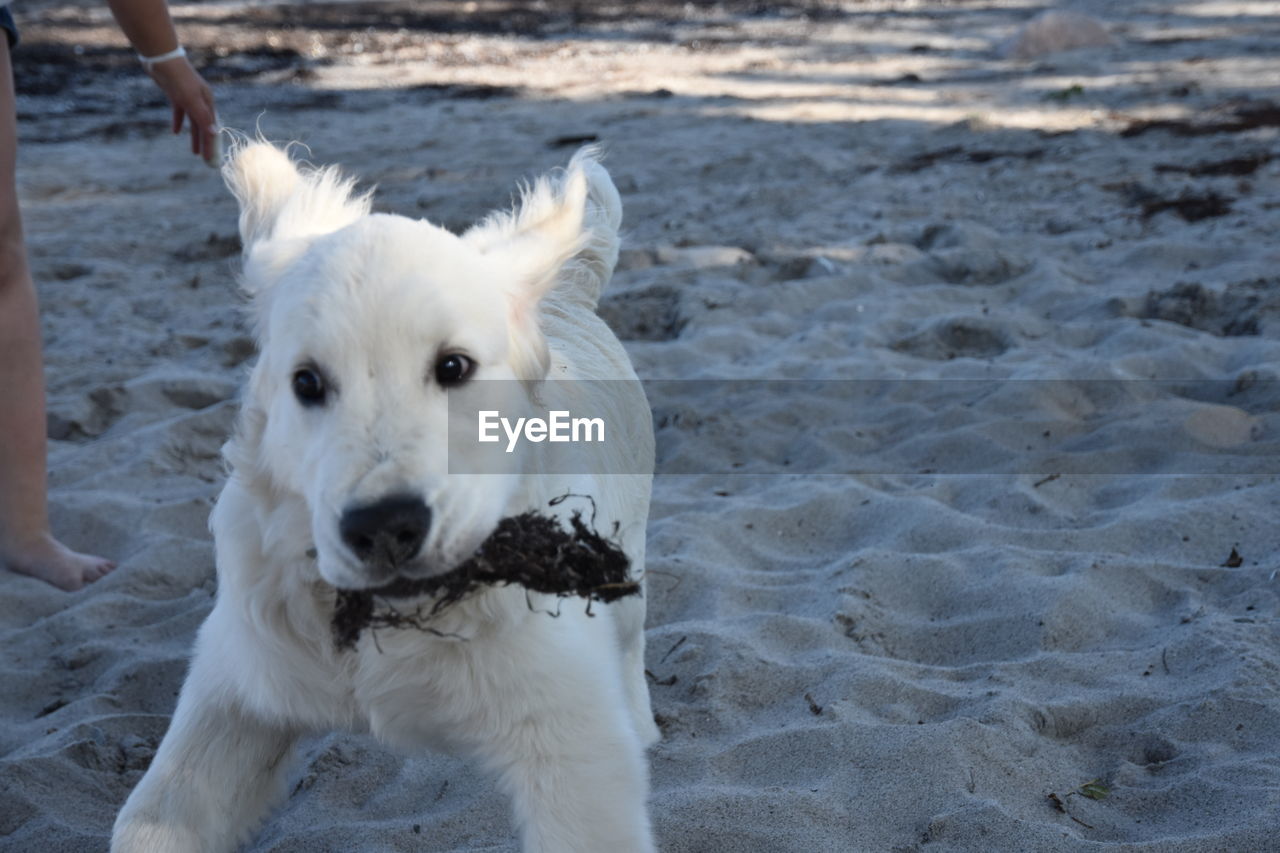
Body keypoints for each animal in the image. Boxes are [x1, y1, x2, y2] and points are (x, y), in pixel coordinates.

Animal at [112, 142, 660, 845]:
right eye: (307, 382)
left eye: (453, 366)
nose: (383, 528)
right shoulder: (237, 686)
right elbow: (148, 818)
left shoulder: (572, 741)